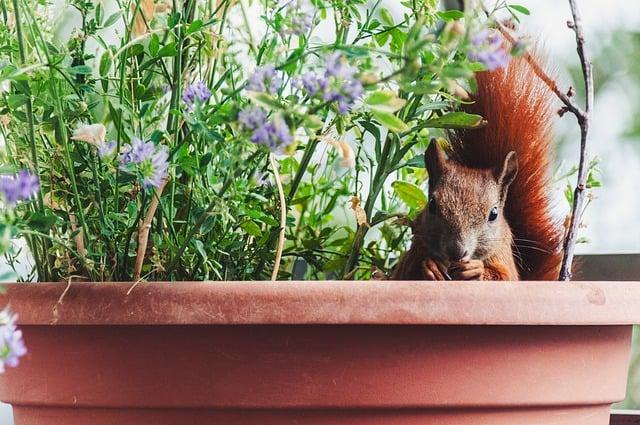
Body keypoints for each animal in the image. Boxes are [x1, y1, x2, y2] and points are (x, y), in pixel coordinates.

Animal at [392, 56, 564, 282]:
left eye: (494, 214)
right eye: (432, 205)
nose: (457, 251)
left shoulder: (503, 259)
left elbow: (504, 277)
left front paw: (476, 270)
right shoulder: (414, 253)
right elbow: (406, 274)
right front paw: (431, 267)